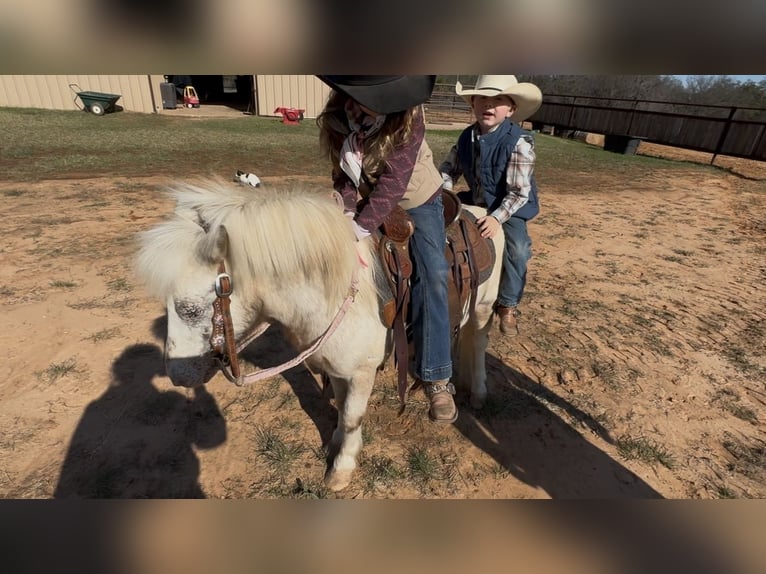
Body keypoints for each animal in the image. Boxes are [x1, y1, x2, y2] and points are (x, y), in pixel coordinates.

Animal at [136, 178, 504, 491]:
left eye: (189, 309)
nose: (176, 375)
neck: (336, 290)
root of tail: (479, 213)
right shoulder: (338, 367)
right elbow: (341, 407)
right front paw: (336, 442)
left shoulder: (361, 372)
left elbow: (354, 416)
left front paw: (341, 469)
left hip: (483, 309)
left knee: (477, 343)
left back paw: (474, 393)